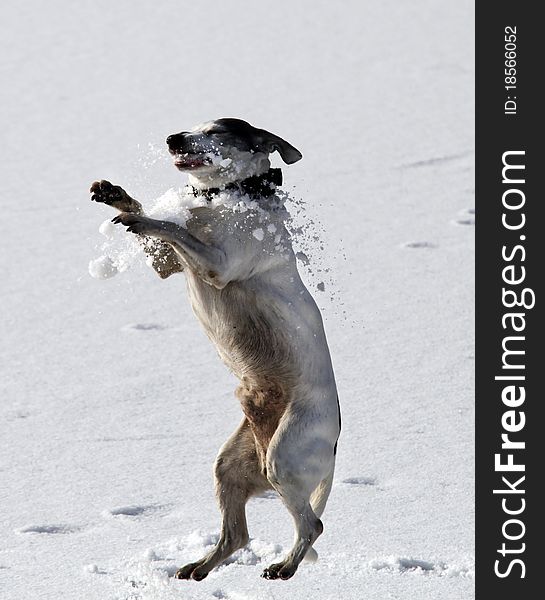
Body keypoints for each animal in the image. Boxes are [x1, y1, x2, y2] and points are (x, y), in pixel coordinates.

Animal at [90, 118, 340, 580]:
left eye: (218, 132)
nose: (172, 138)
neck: (228, 197)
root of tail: (333, 446)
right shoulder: (167, 265)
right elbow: (161, 231)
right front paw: (116, 195)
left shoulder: (217, 264)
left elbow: (171, 226)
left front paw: (143, 217)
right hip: (230, 466)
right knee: (236, 535)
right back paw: (199, 567)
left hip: (283, 458)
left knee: (311, 525)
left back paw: (285, 566)